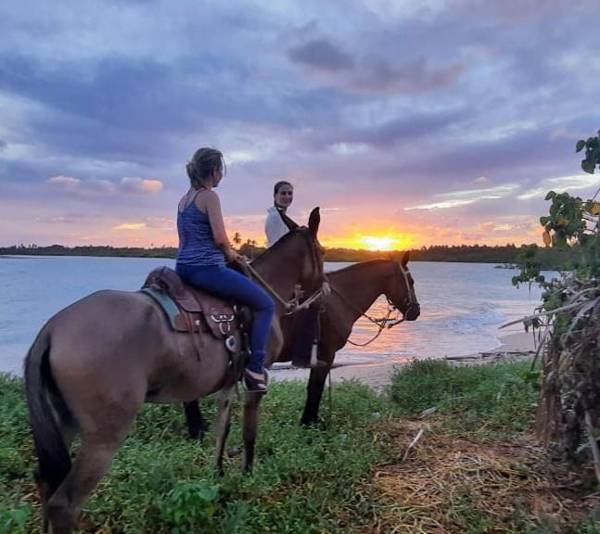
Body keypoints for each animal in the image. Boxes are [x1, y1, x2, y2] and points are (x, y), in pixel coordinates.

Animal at [24, 207, 324, 532]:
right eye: (321, 251)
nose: (324, 291)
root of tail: (52, 329)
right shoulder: (257, 378)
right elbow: (248, 433)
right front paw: (247, 475)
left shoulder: (228, 383)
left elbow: (223, 429)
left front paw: (218, 474)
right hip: (103, 436)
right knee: (64, 503)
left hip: (63, 422)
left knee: (45, 481)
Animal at [184, 254, 422, 436]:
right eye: (410, 280)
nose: (415, 311)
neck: (337, 302)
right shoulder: (326, 354)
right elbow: (315, 388)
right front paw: (310, 423)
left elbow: (312, 387)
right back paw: (197, 429)